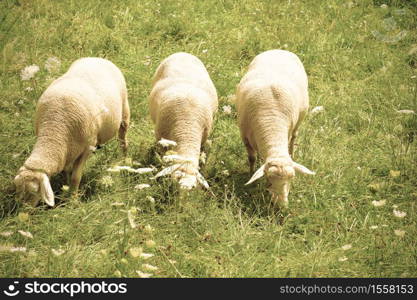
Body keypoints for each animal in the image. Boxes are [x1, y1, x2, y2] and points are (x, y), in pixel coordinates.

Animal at [14, 56, 128, 206]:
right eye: (18, 189)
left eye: (34, 191)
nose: (24, 209)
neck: (54, 129)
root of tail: (96, 58)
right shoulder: (68, 150)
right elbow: (68, 171)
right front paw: (67, 188)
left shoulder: (87, 148)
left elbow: (76, 176)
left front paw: (73, 199)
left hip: (124, 111)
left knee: (123, 139)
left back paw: (125, 160)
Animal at [236, 49, 314, 209]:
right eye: (269, 179)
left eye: (292, 179)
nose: (281, 205)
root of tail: (279, 50)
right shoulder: (245, 136)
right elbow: (252, 158)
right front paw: (251, 174)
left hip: (299, 119)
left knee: (294, 137)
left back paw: (292, 152)